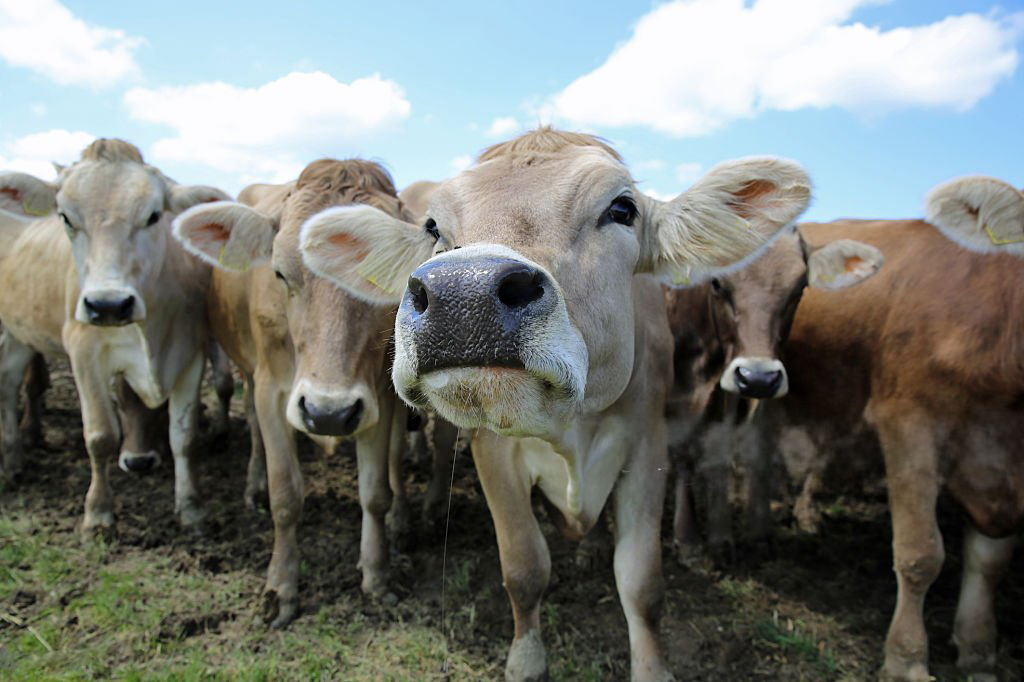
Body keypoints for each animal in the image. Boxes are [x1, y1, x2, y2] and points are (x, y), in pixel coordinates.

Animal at [0, 139, 229, 535]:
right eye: (65, 217)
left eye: (153, 215)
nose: (108, 305)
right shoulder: (84, 354)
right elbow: (101, 436)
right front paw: (98, 514)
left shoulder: (189, 355)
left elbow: (184, 438)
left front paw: (192, 510)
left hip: (20, 332)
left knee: (10, 379)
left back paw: (14, 459)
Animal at [172, 159, 414, 628]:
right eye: (280, 272)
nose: (328, 414)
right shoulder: (272, 390)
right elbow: (286, 495)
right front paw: (281, 587)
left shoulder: (375, 399)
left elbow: (375, 494)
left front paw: (377, 575)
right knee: (251, 429)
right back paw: (253, 487)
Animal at [298, 128, 812, 681]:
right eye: (433, 227)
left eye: (623, 208)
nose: (463, 295)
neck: (572, 427)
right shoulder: (493, 452)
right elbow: (524, 568)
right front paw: (526, 662)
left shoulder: (647, 446)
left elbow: (641, 583)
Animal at [666, 229, 883, 559]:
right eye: (717, 282)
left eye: (799, 287)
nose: (759, 378)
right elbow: (682, 451)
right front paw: (688, 537)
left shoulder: (727, 390)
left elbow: (724, 447)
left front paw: (726, 534)